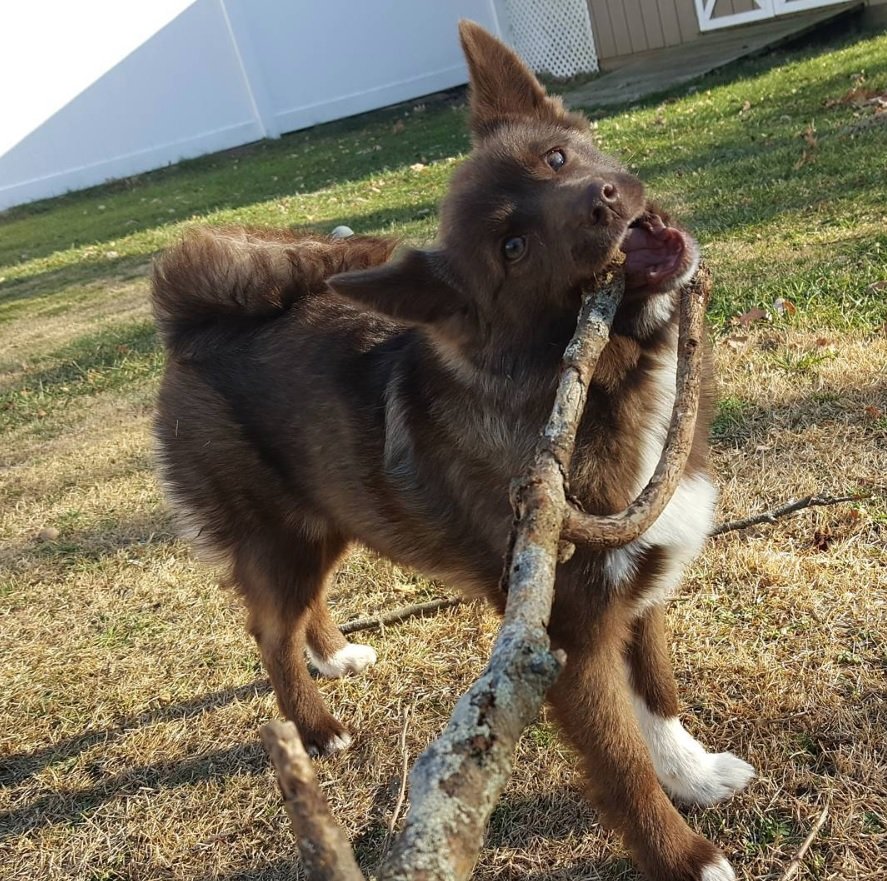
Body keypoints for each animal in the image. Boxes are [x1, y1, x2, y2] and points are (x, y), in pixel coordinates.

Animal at [153, 20, 756, 880]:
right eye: (512, 246)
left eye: (556, 160)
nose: (601, 203)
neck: (599, 381)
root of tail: (188, 315)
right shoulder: (561, 640)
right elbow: (620, 761)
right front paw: (683, 857)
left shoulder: (637, 587)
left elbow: (658, 698)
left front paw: (695, 773)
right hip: (278, 533)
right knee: (267, 630)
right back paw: (316, 726)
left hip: (325, 514)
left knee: (298, 610)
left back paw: (334, 653)